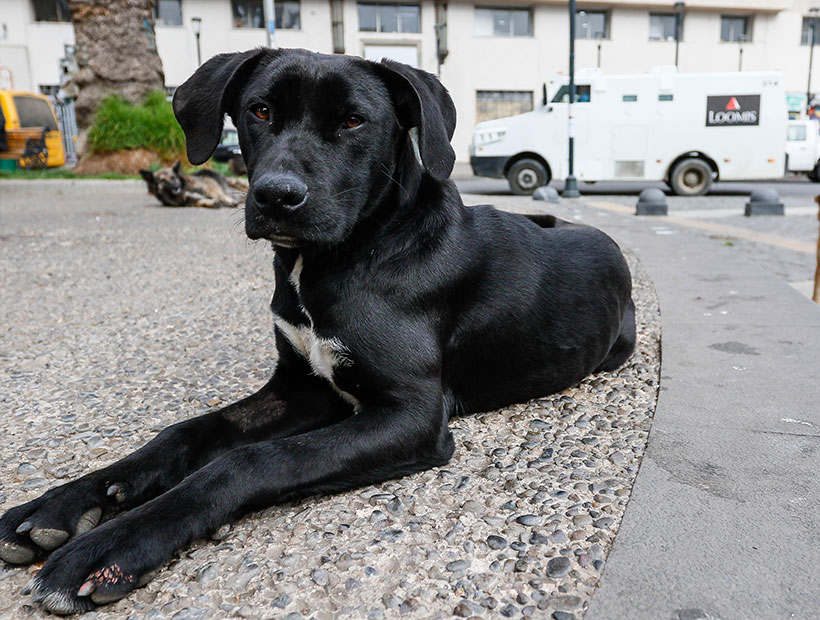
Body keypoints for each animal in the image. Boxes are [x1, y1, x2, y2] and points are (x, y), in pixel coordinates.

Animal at [0, 47, 636, 612]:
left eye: (354, 120)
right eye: (258, 111)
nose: (277, 196)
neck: (344, 255)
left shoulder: (408, 415)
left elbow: (251, 460)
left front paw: (113, 545)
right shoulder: (302, 386)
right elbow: (186, 433)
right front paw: (60, 505)